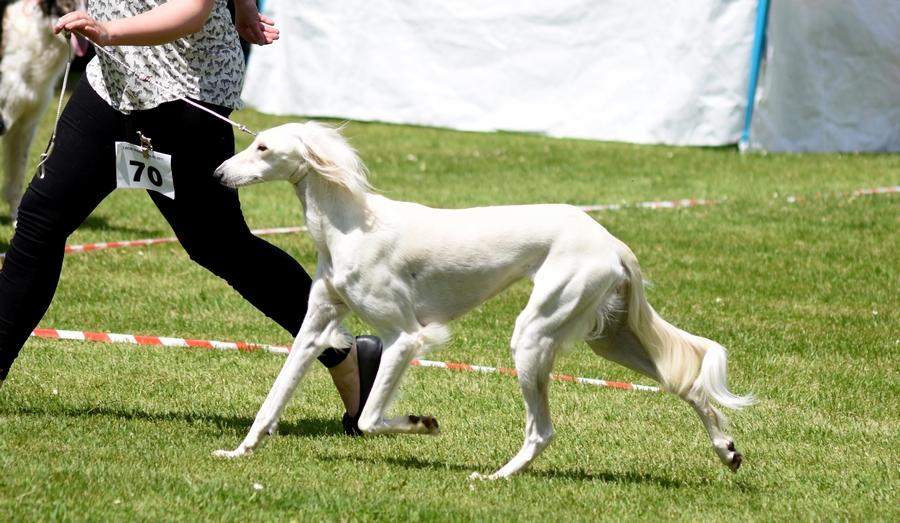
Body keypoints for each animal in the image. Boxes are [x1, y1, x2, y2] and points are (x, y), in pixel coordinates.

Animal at [211, 122, 752, 478]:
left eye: (262, 146)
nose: (217, 175)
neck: (348, 225)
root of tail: (611, 240)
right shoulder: (315, 327)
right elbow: (273, 398)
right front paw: (239, 452)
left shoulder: (406, 337)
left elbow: (369, 417)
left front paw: (421, 423)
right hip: (610, 338)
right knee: (686, 384)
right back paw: (726, 448)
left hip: (534, 334)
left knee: (542, 430)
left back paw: (496, 477)